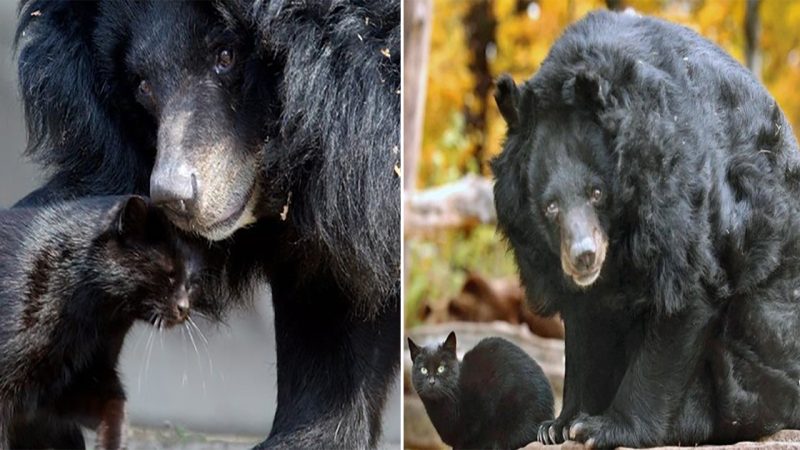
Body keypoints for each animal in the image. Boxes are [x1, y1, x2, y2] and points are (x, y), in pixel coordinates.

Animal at [0, 195, 203, 448]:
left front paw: (112, 443)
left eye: (191, 283)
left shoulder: (87, 377)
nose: (184, 308)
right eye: (169, 274)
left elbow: (115, 409)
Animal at [494, 8, 800, 448]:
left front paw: (602, 427)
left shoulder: (676, 192)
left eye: (597, 192)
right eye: (550, 206)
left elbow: (686, 293)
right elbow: (583, 327)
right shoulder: (548, 259)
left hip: (761, 354)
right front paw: (558, 425)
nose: (583, 256)